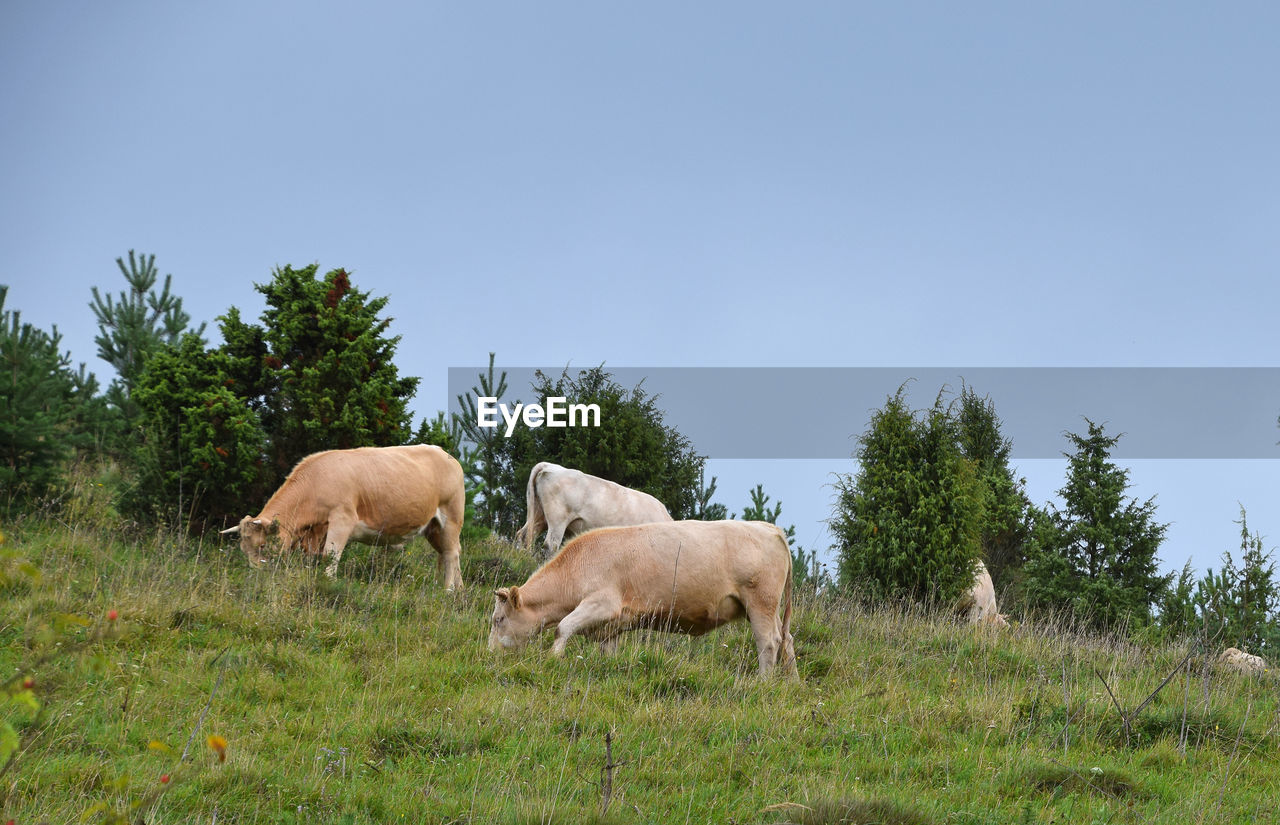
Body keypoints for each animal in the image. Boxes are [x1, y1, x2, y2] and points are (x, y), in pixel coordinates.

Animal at [222, 445, 468, 585]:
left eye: (262, 545)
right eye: (243, 549)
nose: (256, 576)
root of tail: (446, 454)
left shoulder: (342, 520)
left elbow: (331, 556)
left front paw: (328, 583)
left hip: (451, 517)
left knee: (451, 554)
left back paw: (447, 591)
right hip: (433, 528)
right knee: (450, 554)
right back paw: (457, 590)